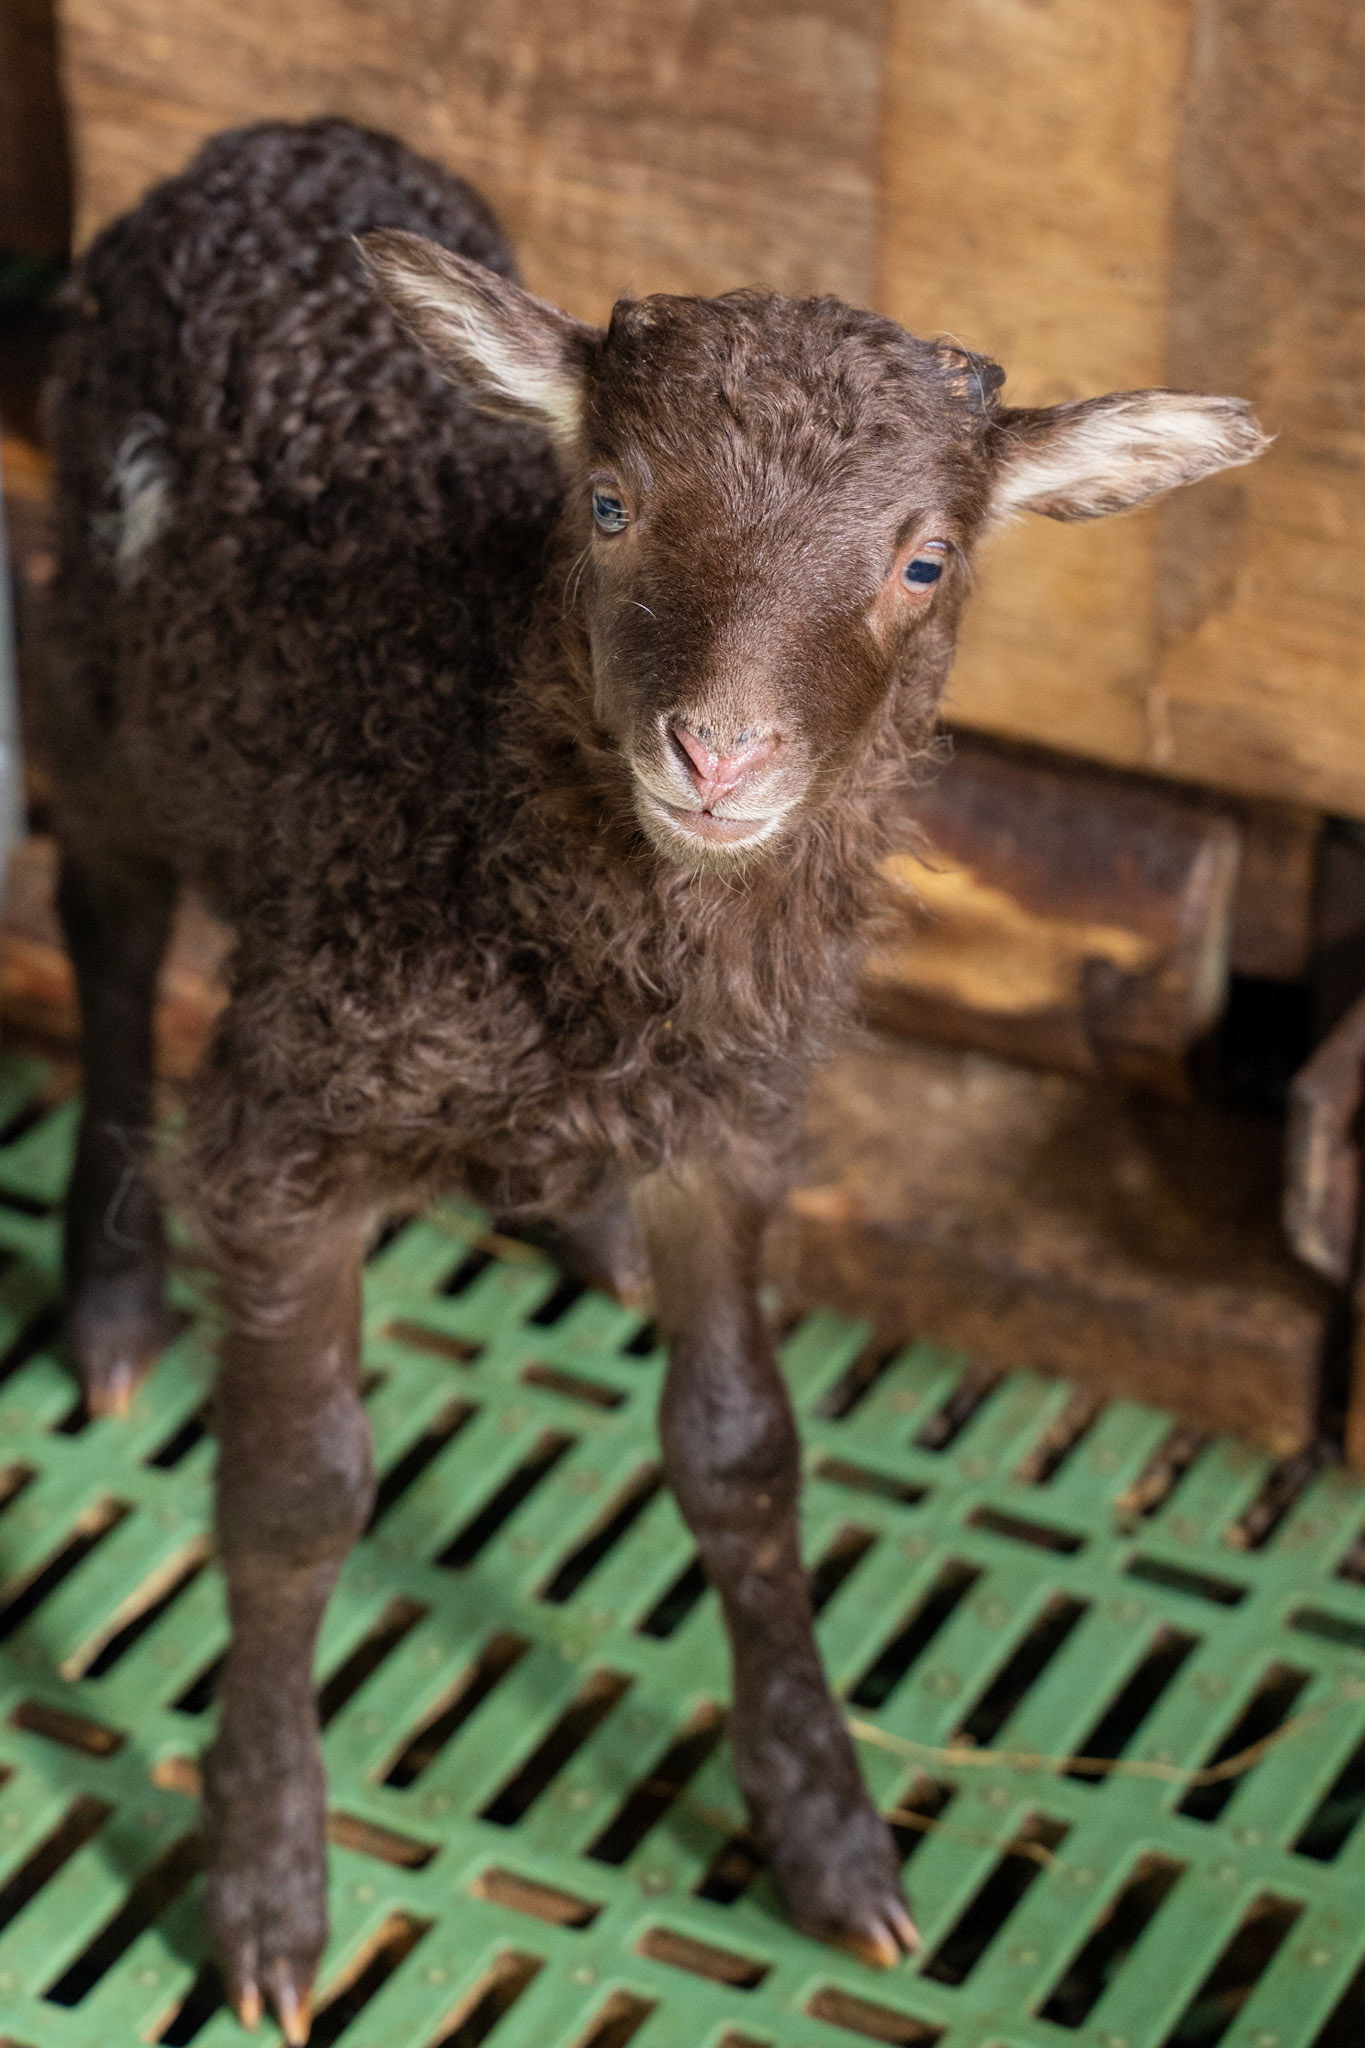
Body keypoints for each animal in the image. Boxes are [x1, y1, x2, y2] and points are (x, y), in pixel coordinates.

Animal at [41, 115, 1266, 2041]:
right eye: (609, 504)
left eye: (926, 562)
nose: (721, 755)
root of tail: (278, 138)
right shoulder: (293, 1120)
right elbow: (297, 1493)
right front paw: (268, 1882)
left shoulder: (734, 1125)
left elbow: (743, 1452)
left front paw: (831, 1834)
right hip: (91, 667)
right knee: (100, 920)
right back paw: (111, 1298)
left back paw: (579, 1229)